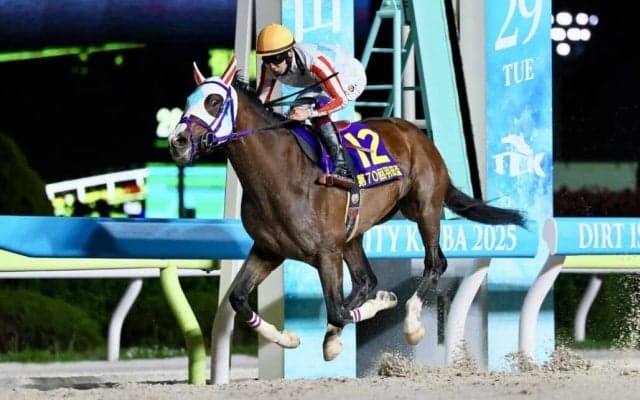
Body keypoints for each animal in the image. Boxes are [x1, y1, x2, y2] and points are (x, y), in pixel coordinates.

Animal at [168, 56, 526, 362]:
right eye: (188, 99)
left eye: (214, 101)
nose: (178, 142)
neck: (280, 174)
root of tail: (418, 135)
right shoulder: (269, 250)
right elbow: (239, 299)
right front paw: (290, 338)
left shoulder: (326, 252)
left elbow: (337, 309)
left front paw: (384, 303)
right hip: (353, 235)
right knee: (366, 279)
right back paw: (337, 335)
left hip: (424, 208)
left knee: (434, 264)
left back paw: (410, 323)